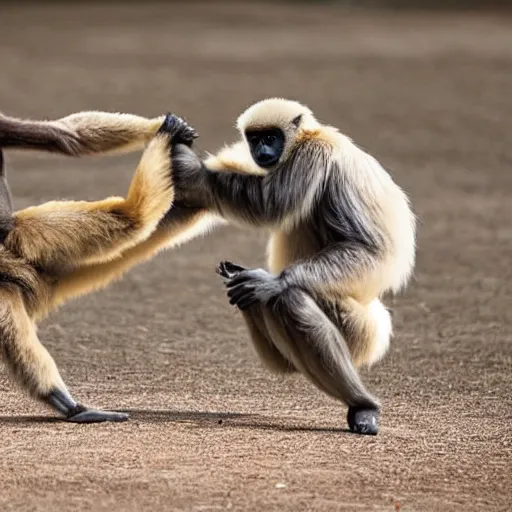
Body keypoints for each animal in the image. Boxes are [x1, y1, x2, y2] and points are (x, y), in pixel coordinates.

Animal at [168, 98, 416, 434]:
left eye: (271, 137)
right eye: (255, 139)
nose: (262, 151)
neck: (313, 135)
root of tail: (377, 321)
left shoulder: (311, 155)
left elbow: (271, 208)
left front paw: (189, 168)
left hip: (357, 328)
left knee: (289, 301)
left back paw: (362, 404)